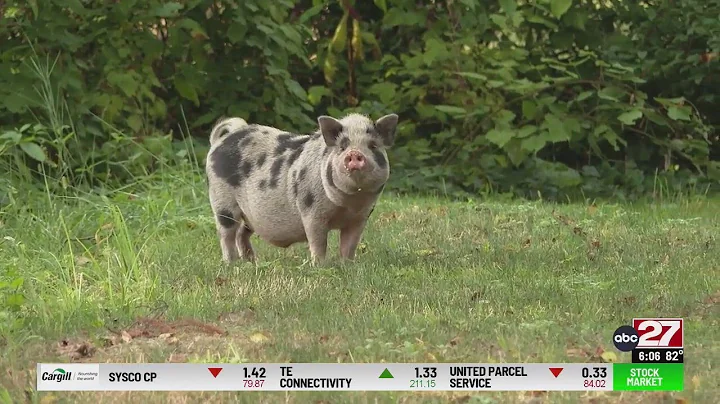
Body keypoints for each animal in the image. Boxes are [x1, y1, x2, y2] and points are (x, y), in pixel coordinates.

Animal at [205, 112, 399, 264]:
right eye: (342, 147)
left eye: (373, 146)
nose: (354, 154)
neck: (348, 203)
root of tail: (219, 141)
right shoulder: (311, 212)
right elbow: (318, 242)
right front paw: (320, 266)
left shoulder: (360, 218)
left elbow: (349, 244)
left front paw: (347, 265)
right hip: (222, 202)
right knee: (226, 234)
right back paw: (231, 263)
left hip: (250, 214)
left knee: (241, 234)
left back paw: (252, 261)